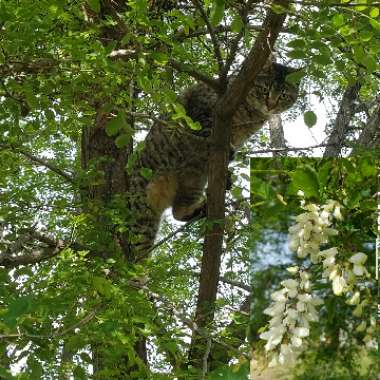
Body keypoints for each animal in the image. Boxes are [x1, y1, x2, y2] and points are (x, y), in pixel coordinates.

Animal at [127, 61, 300, 262]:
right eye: (265, 90)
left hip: (194, 180)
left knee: (178, 210)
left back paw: (199, 208)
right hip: (143, 210)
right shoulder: (201, 109)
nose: (270, 105)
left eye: (283, 95)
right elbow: (209, 131)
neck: (250, 115)